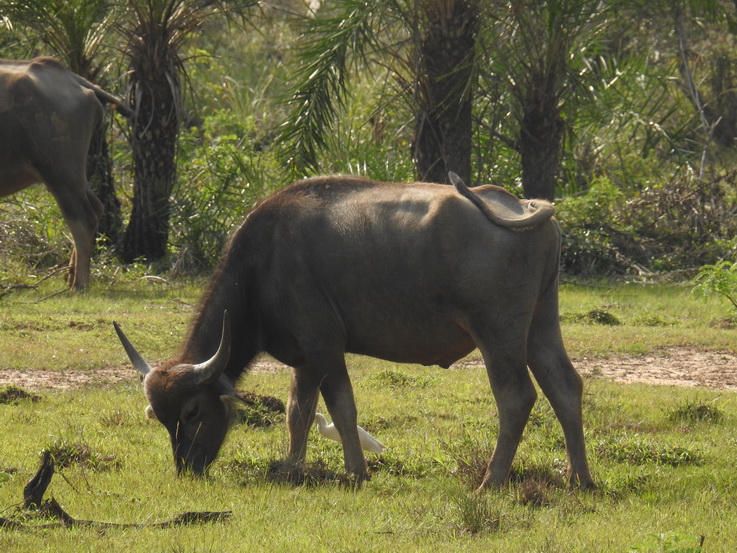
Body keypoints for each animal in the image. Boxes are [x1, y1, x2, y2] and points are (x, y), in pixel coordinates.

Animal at [0, 57, 132, 288]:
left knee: (82, 217)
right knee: (95, 207)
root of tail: (70, 76)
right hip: (74, 175)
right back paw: (70, 276)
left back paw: (79, 283)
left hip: (60, 173)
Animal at [116, 172, 600, 488]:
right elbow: (298, 412)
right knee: (564, 386)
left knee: (516, 397)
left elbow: (342, 407)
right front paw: (292, 467)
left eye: (192, 412)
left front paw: (356, 471)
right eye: (160, 418)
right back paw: (580, 478)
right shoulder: (304, 358)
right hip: (541, 323)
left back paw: (492, 481)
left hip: (497, 333)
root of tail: (525, 206)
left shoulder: (325, 348)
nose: (187, 467)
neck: (262, 266)